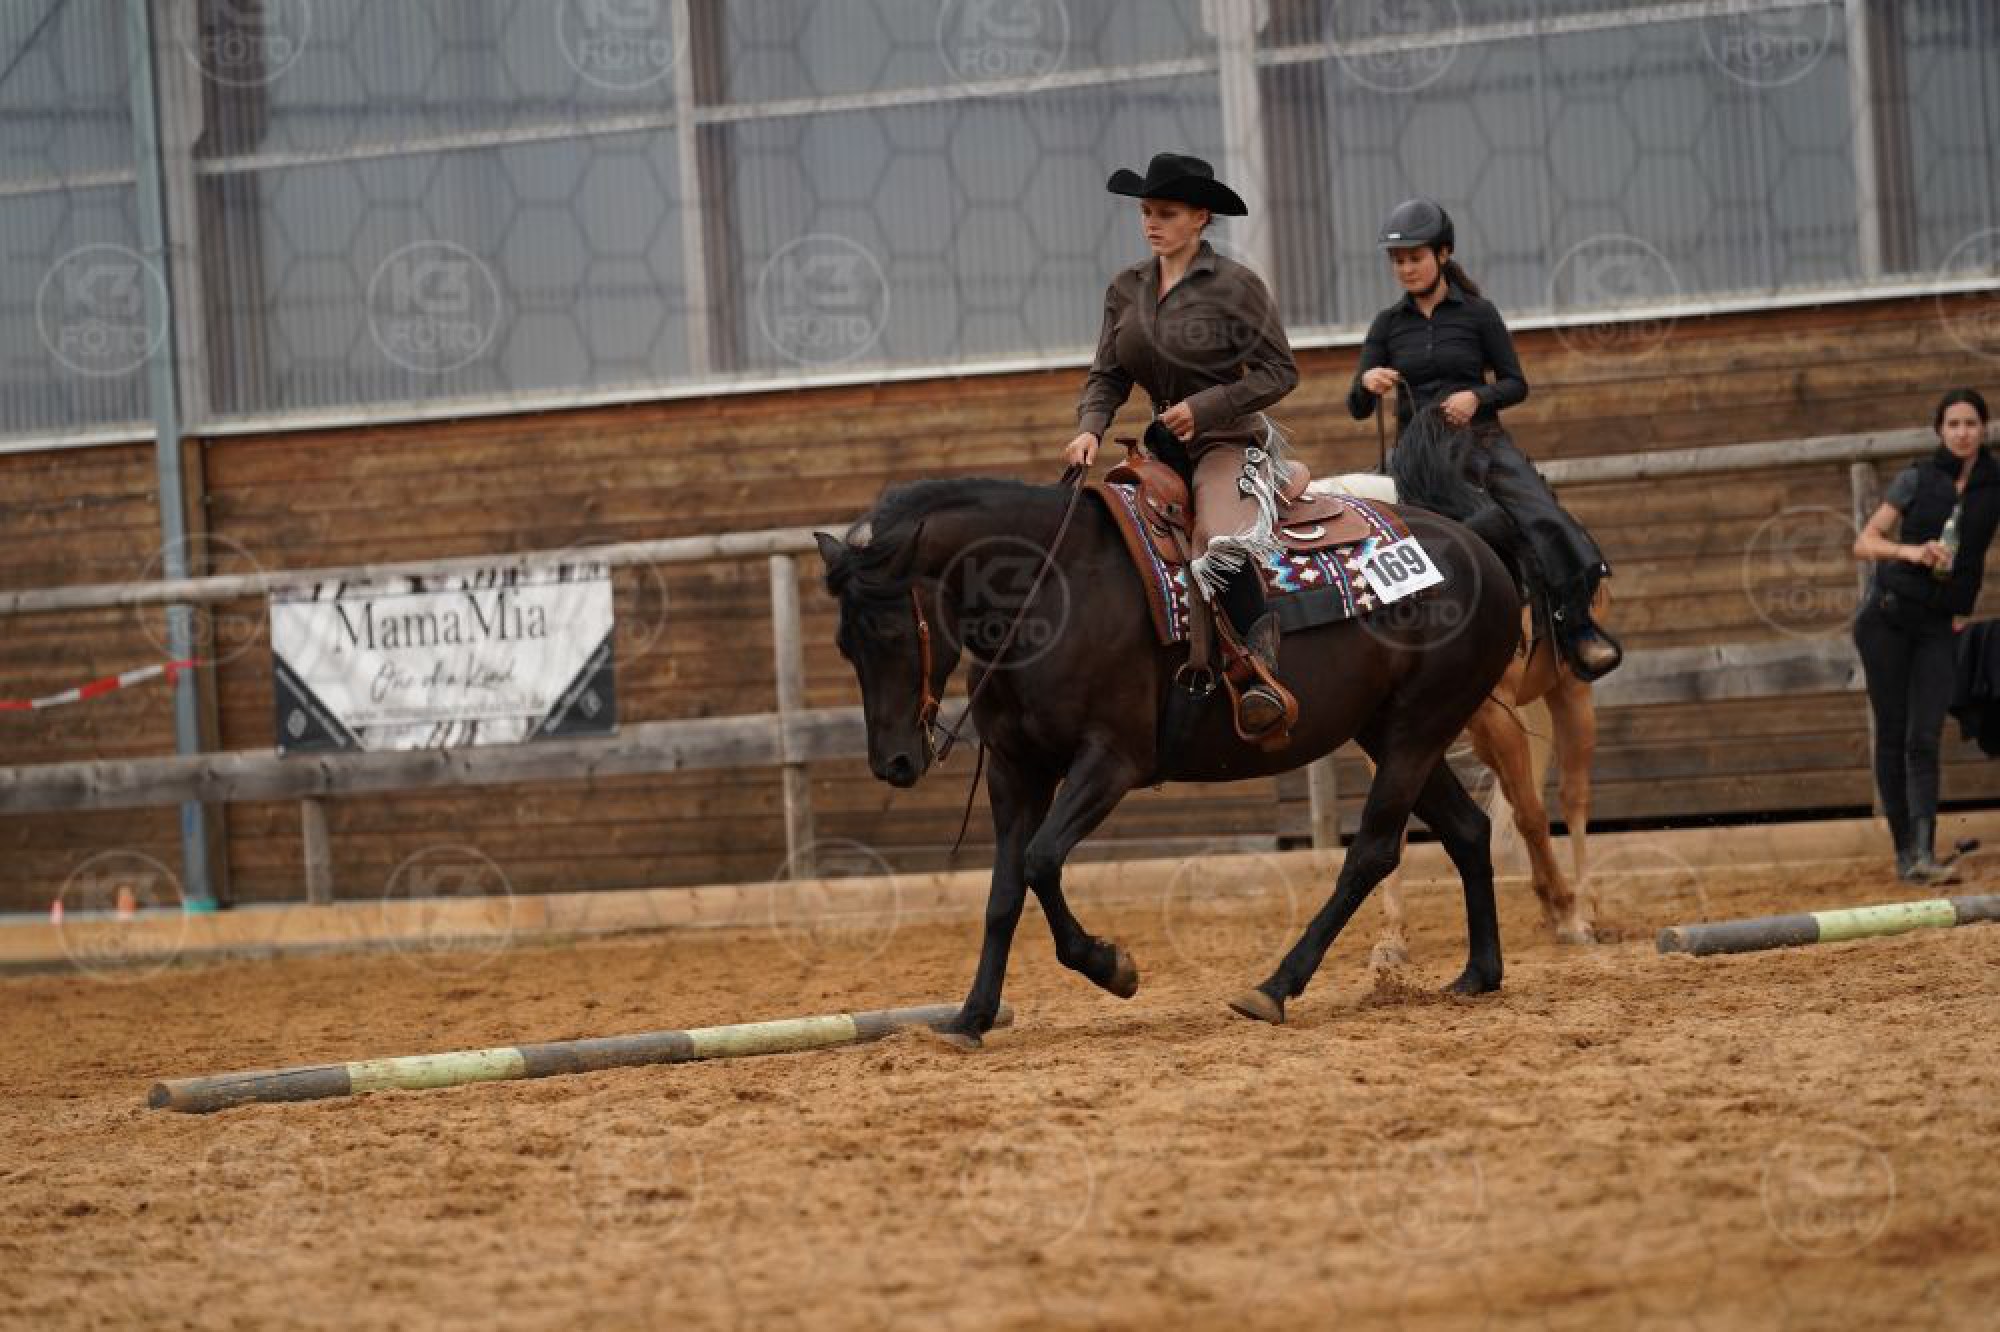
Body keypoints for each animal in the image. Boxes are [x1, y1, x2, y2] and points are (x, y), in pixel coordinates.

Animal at [813, 411, 1526, 1041]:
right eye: (845, 645)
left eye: (889, 630)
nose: (893, 762)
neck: (1052, 589)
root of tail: (1478, 541)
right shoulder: (1018, 769)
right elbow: (1004, 891)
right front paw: (971, 1019)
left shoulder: (1111, 761)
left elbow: (1042, 860)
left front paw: (1112, 968)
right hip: (1392, 729)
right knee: (1467, 830)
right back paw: (1478, 973)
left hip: (1417, 727)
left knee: (1373, 851)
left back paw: (1274, 988)